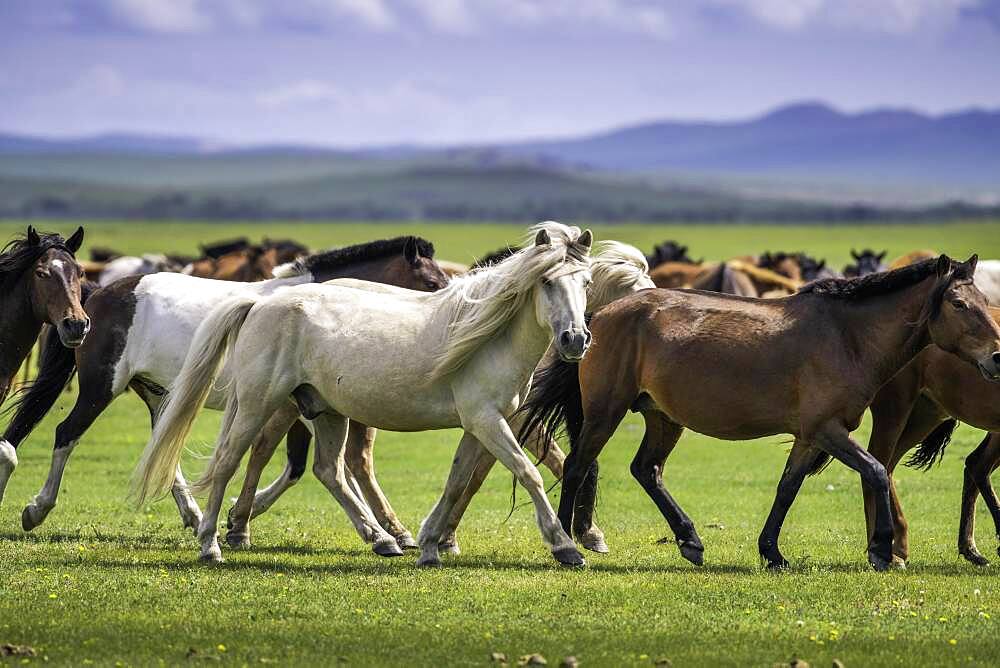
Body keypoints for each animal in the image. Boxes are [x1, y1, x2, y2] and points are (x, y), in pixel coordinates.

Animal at [0, 235, 446, 532]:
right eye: (432, 283)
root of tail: (95, 295)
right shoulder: (293, 405)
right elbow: (301, 464)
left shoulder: (301, 404)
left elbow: (302, 465)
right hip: (101, 387)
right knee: (65, 433)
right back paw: (36, 509)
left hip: (159, 392)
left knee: (163, 445)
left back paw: (193, 514)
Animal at [129, 222, 588, 568]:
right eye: (547, 281)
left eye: (585, 281)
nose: (576, 340)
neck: (490, 338)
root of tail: (257, 304)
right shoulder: (486, 421)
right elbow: (528, 473)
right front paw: (565, 546)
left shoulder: (481, 424)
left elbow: (457, 482)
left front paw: (429, 545)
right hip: (259, 406)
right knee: (229, 462)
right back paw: (211, 543)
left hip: (326, 411)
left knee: (329, 471)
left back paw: (382, 539)